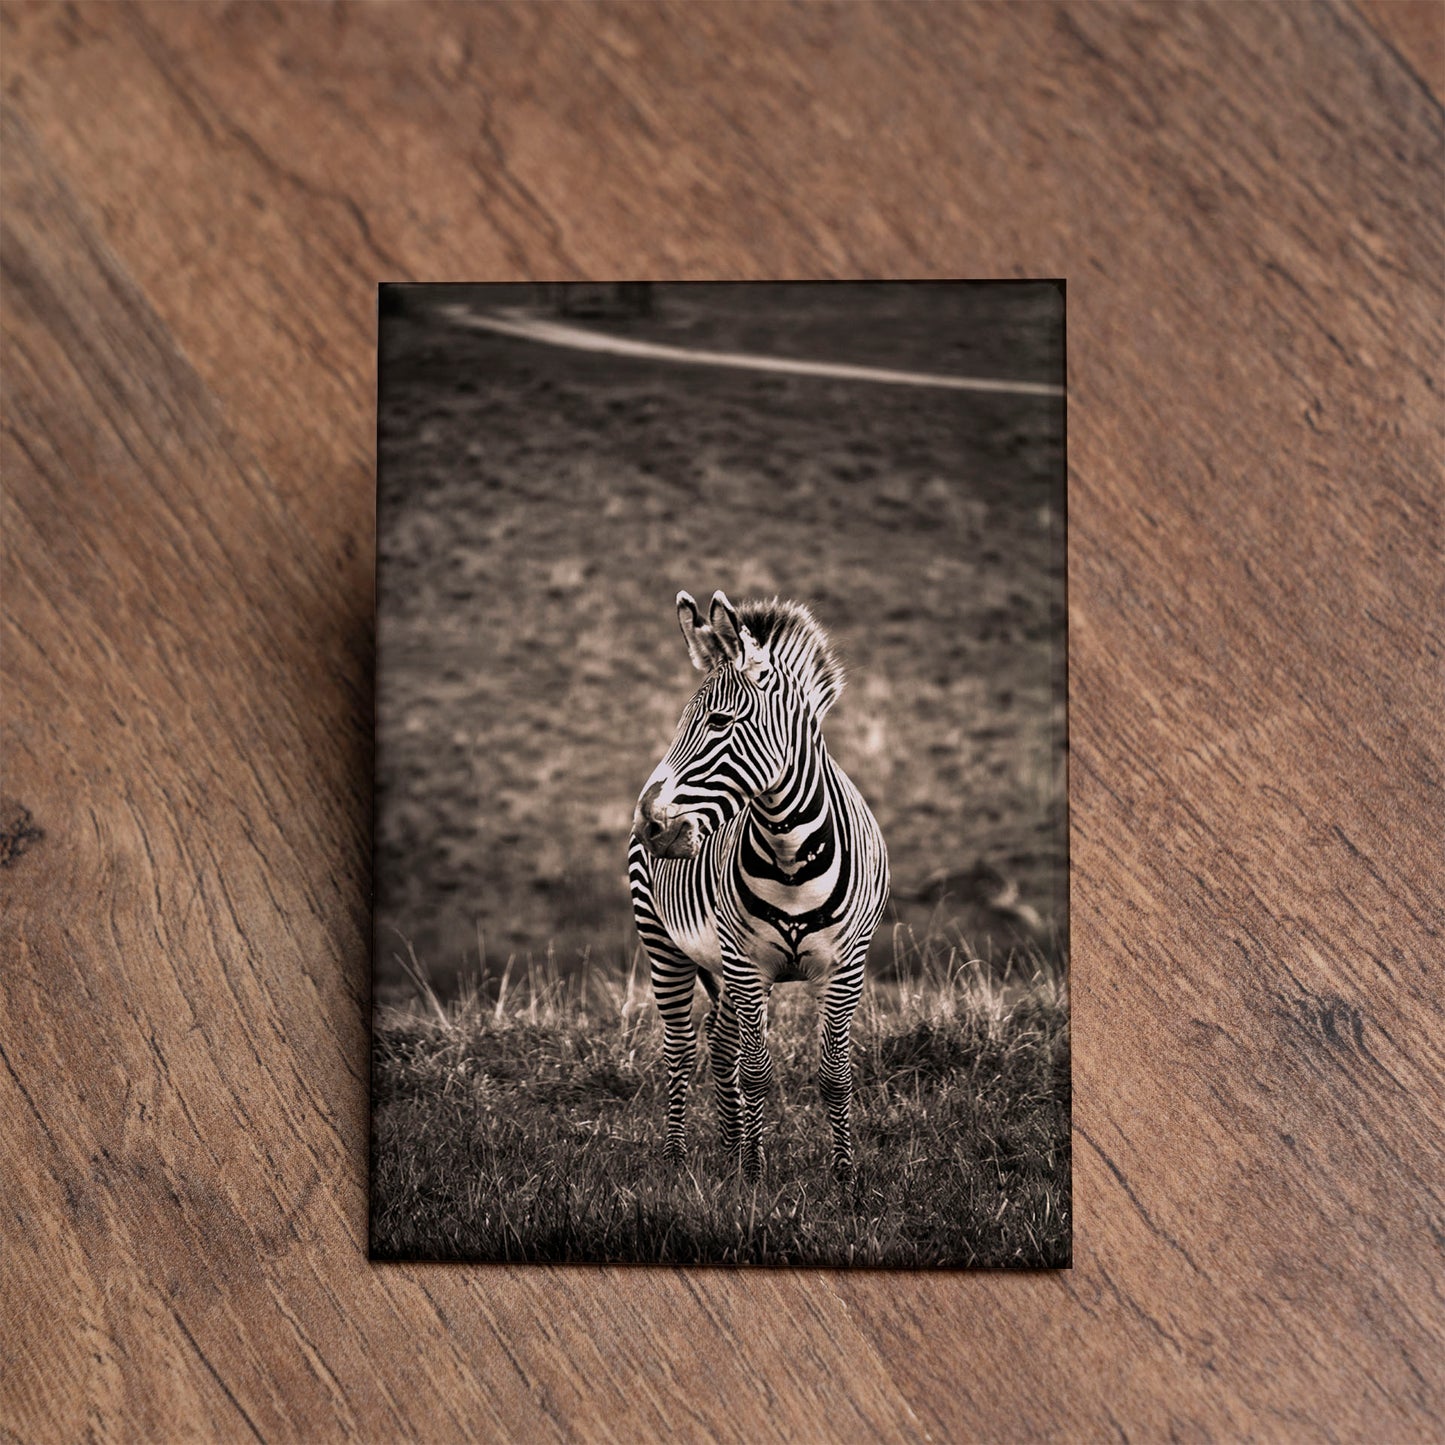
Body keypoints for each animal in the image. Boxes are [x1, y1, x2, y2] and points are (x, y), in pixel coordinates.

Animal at [628, 590, 890, 1181]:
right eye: (682, 721)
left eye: (720, 721)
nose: (650, 826)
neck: (791, 853)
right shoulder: (748, 965)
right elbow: (757, 1072)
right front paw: (754, 1175)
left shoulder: (845, 969)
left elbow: (834, 1073)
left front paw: (844, 1178)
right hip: (665, 943)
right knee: (682, 1049)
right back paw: (680, 1158)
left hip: (721, 964)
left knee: (720, 1041)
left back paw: (728, 1148)